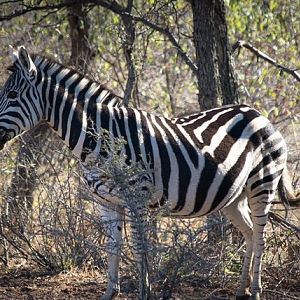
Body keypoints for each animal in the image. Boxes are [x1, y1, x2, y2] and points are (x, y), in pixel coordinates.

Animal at [0, 45, 298, 300]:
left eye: (12, 96)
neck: (99, 138)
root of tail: (257, 113)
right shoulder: (105, 202)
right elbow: (113, 247)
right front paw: (110, 292)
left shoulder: (136, 198)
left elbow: (139, 246)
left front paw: (145, 291)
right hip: (233, 197)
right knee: (249, 233)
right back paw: (241, 289)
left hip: (262, 184)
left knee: (261, 235)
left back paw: (256, 290)